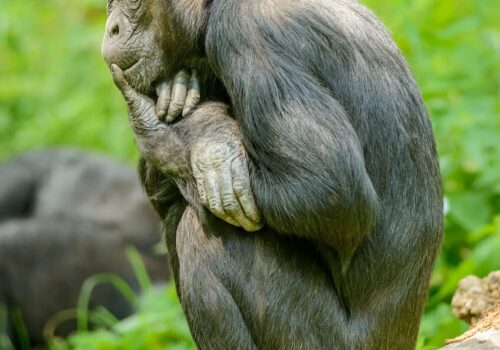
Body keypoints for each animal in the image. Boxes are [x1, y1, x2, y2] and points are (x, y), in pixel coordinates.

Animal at [100, 1, 442, 348]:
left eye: (133, 3)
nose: (111, 27)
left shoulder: (249, 35)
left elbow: (330, 190)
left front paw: (186, 133)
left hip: (318, 338)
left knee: (202, 239)